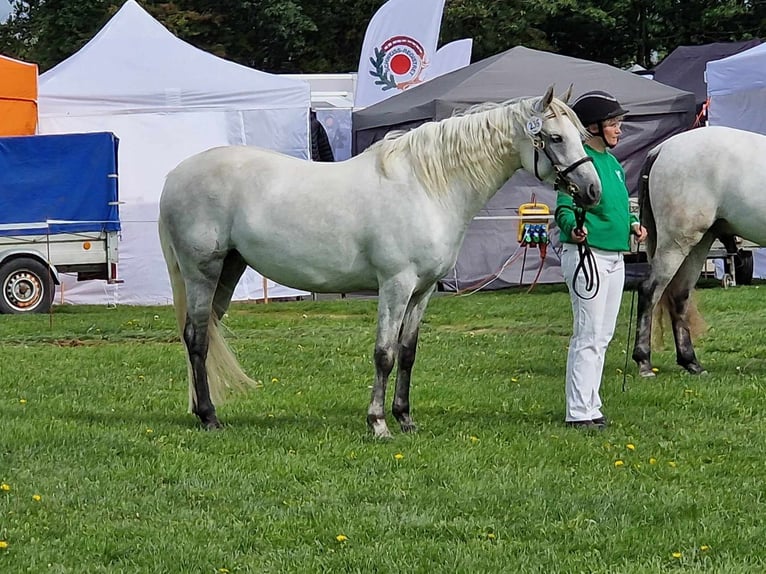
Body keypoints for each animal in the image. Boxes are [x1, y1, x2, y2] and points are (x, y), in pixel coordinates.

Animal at [159, 84, 604, 436]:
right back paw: (209, 417)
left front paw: (405, 418)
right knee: (196, 338)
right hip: (202, 273)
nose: (593, 191)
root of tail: (176, 175)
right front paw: (377, 422)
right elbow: (384, 353)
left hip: (229, 269)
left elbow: (407, 353)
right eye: (555, 137)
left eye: (580, 135)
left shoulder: (423, 291)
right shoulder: (395, 285)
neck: (427, 185)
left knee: (206, 333)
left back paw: (202, 410)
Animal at [632, 126, 766, 378]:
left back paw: (691, 363)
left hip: (699, 244)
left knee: (679, 296)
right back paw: (644, 362)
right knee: (649, 291)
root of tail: (661, 149)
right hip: (676, 243)